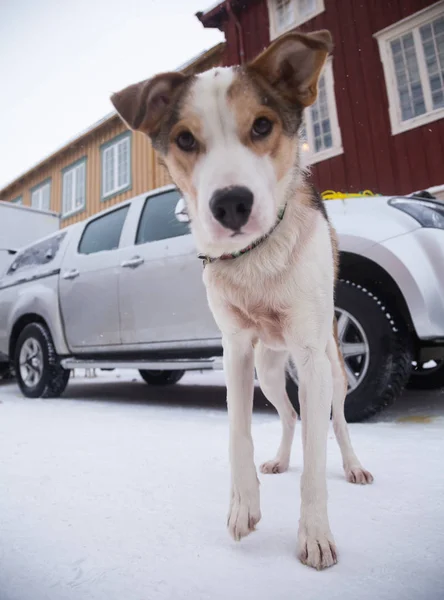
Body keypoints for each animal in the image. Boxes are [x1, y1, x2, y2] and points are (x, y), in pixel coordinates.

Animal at [111, 29, 372, 572]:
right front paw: (243, 506)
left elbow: (317, 457)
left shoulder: (311, 359)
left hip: (332, 366)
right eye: (186, 139)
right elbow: (238, 433)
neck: (257, 257)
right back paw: (278, 459)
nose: (230, 203)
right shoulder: (235, 349)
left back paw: (354, 466)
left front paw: (315, 536)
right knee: (290, 414)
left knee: (335, 422)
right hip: (270, 371)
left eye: (262, 125)